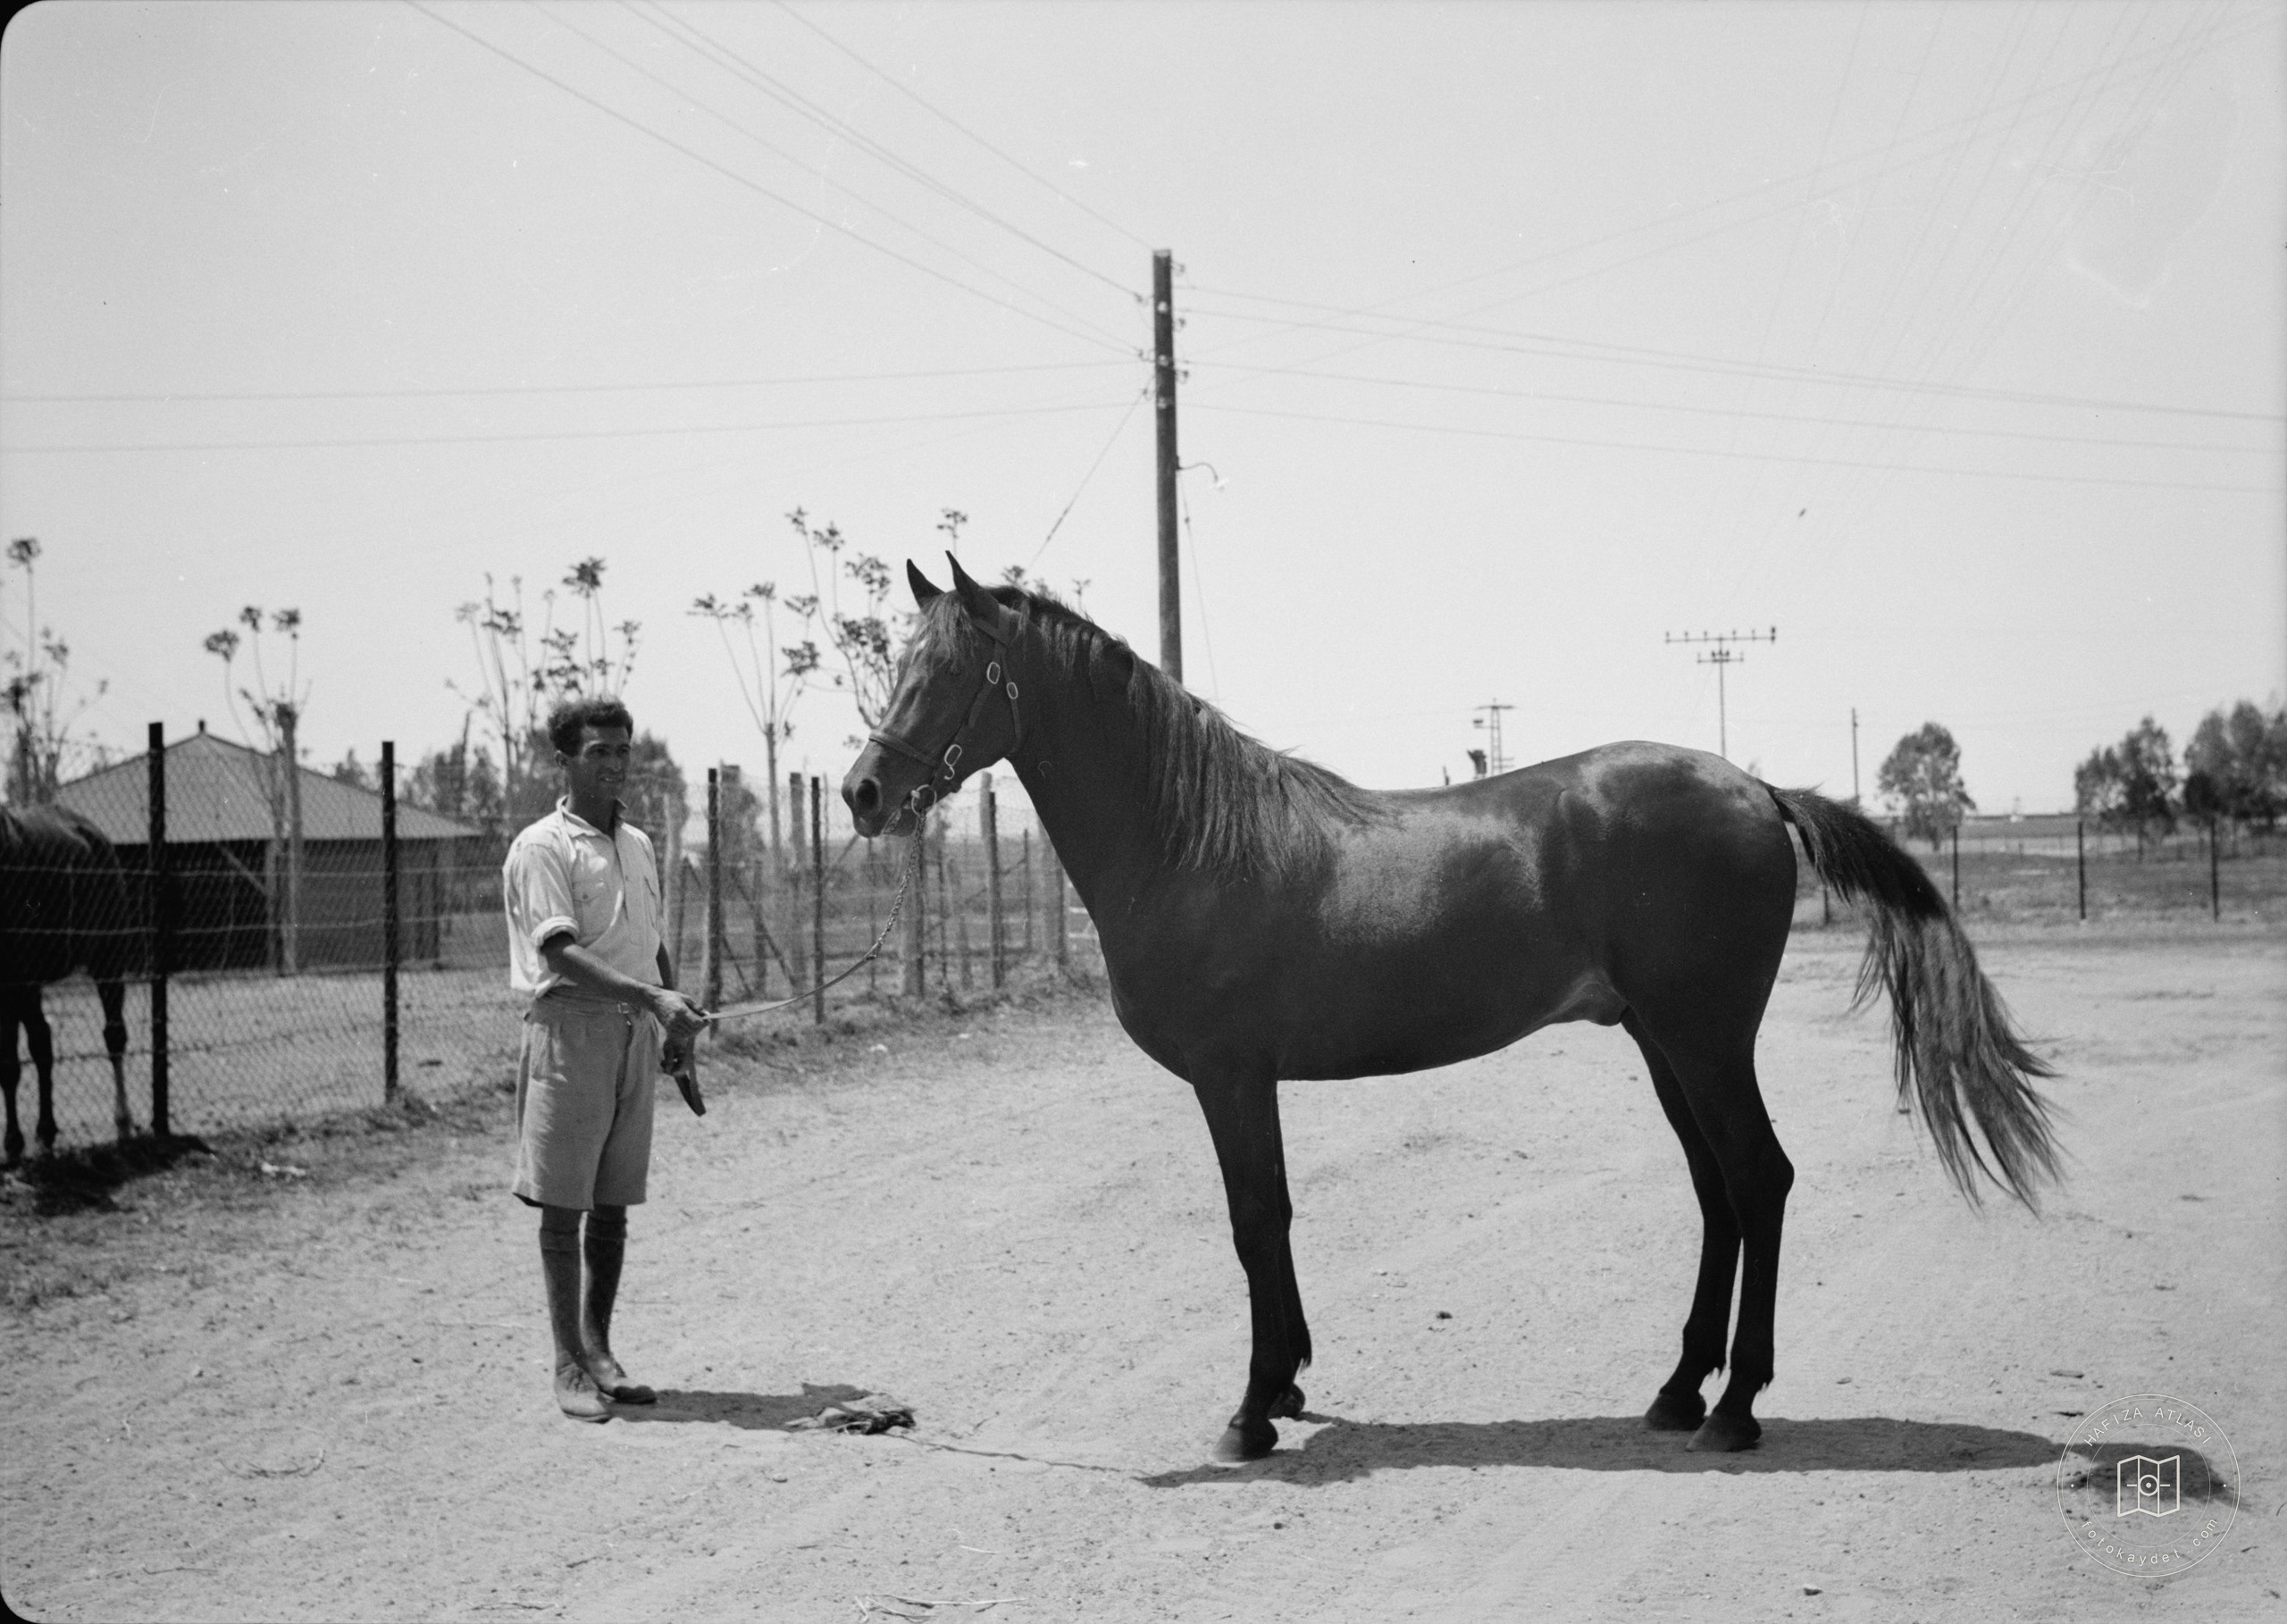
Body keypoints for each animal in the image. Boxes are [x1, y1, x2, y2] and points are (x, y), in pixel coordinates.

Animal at [0, 804, 136, 1164]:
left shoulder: (15, 982)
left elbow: (9, 1064)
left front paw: (13, 1144)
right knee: (43, 1041)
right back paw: (46, 1133)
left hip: (107, 959)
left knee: (114, 1035)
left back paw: (123, 1123)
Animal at [843, 558, 2061, 1462]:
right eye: (900, 660)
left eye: (956, 669)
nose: (864, 792)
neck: (1192, 842)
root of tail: (1756, 789)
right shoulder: (1250, 1082)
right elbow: (1275, 1220)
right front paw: (1286, 1388)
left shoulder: (1231, 1078)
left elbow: (1255, 1221)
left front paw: (1251, 1412)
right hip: (1664, 1043)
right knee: (1718, 1190)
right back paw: (1676, 1391)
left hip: (1705, 1038)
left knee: (1758, 1180)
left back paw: (1733, 1411)